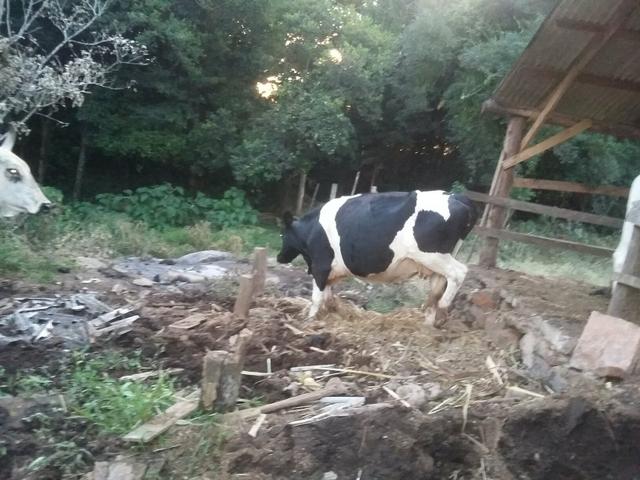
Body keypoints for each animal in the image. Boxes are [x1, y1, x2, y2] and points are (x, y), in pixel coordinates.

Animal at [277, 190, 478, 325]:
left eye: (283, 234)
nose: (279, 257)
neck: (311, 230)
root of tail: (456, 197)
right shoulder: (330, 272)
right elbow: (327, 297)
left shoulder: (320, 266)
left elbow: (316, 298)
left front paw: (309, 320)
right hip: (438, 261)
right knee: (438, 286)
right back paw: (428, 322)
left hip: (433, 256)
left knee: (459, 272)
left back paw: (443, 308)